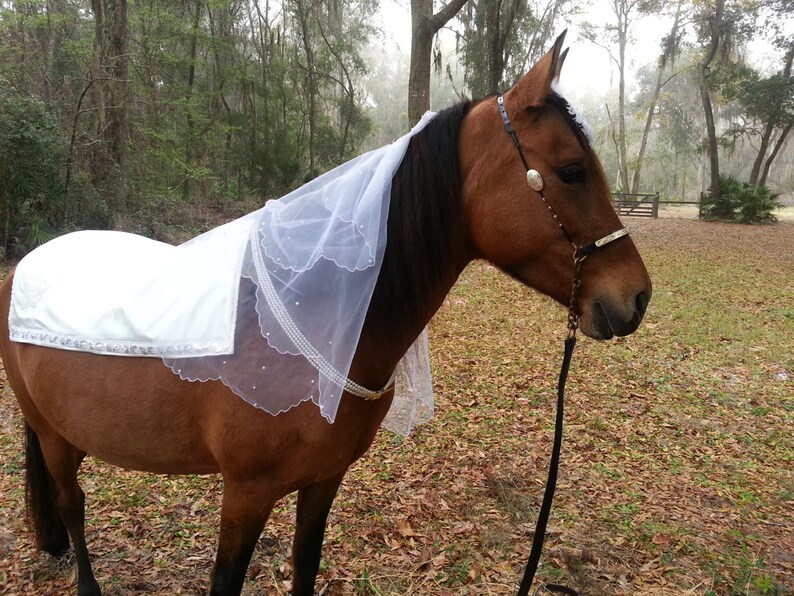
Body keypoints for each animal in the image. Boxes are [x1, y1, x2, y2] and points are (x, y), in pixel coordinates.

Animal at [0, 34, 651, 595]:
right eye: (571, 170)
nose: (637, 298)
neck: (315, 319)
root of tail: (23, 265)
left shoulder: (323, 480)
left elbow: (305, 565)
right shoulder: (245, 493)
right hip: (53, 435)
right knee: (73, 506)